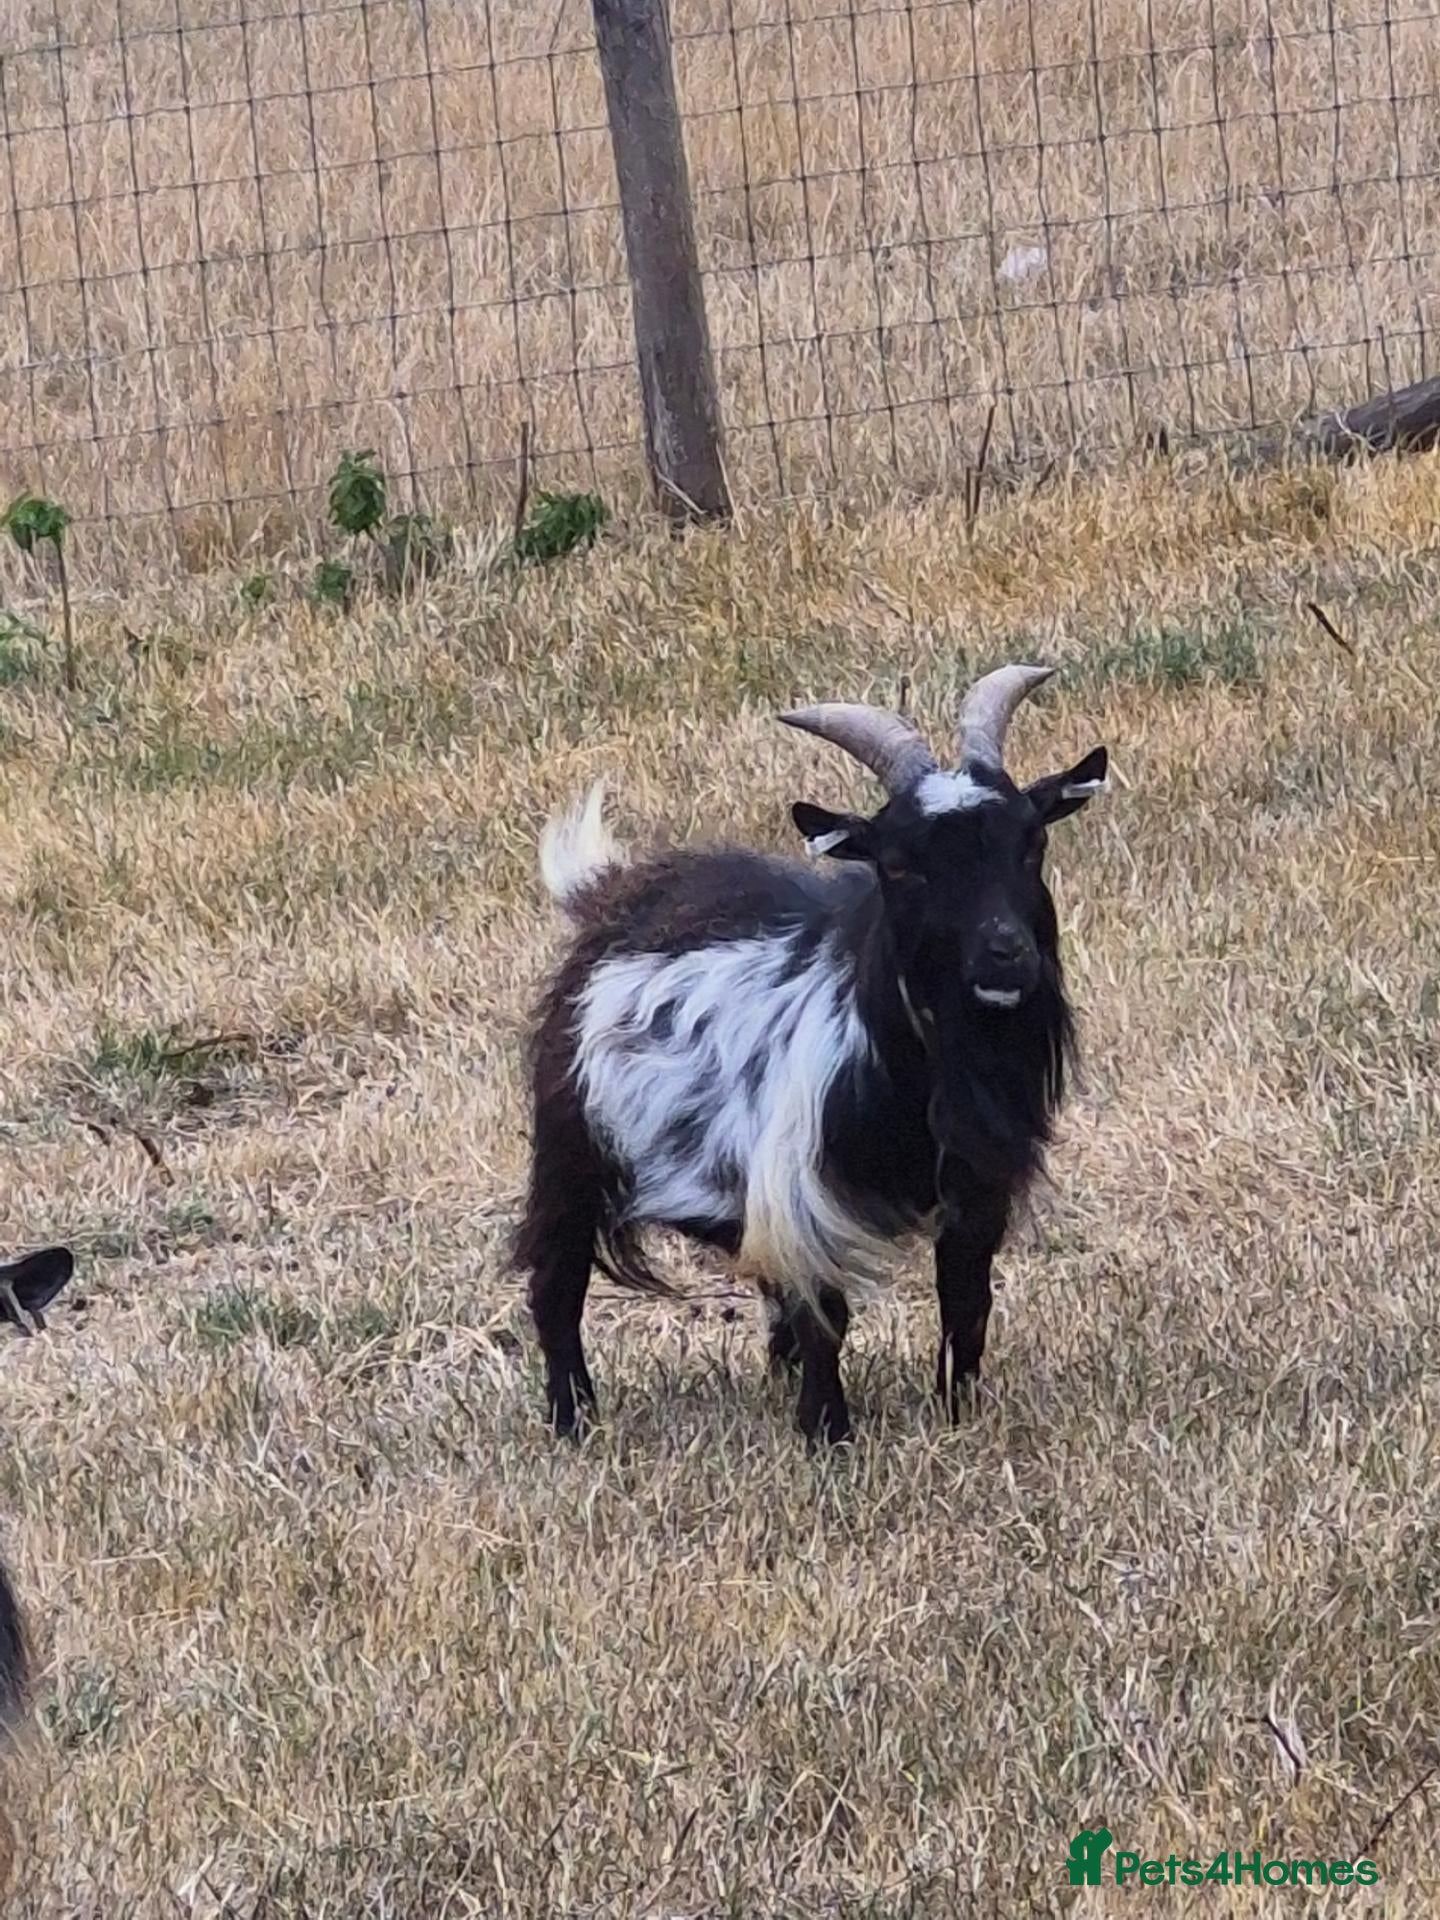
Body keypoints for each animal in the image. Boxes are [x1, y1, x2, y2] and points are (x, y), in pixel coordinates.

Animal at [514, 664, 1108, 1443]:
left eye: (1031, 842)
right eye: (900, 865)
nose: (1007, 955)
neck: (919, 1075)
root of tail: (609, 896)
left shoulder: (975, 1191)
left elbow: (966, 1306)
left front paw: (958, 1415)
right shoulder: (801, 1192)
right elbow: (825, 1315)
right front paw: (829, 1434)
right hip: (570, 1150)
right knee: (556, 1282)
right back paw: (573, 1419)